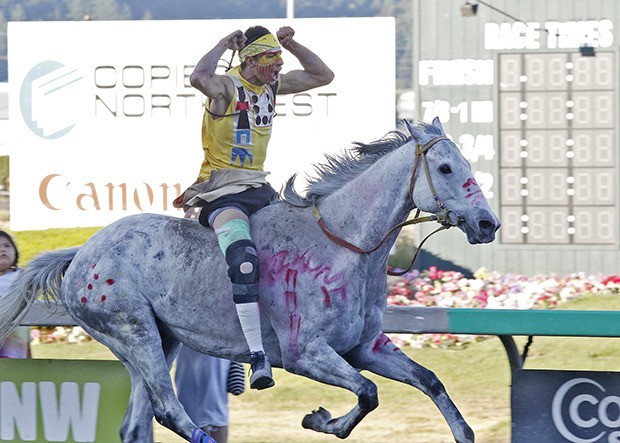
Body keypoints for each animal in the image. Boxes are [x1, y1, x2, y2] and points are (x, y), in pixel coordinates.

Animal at [0, 119, 498, 443]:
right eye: (447, 168)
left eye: (468, 163)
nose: (487, 223)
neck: (344, 245)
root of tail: (82, 253)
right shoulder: (305, 354)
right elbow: (368, 392)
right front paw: (321, 421)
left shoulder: (365, 347)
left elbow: (428, 381)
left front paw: (462, 430)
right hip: (132, 332)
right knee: (170, 410)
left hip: (160, 340)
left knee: (137, 422)